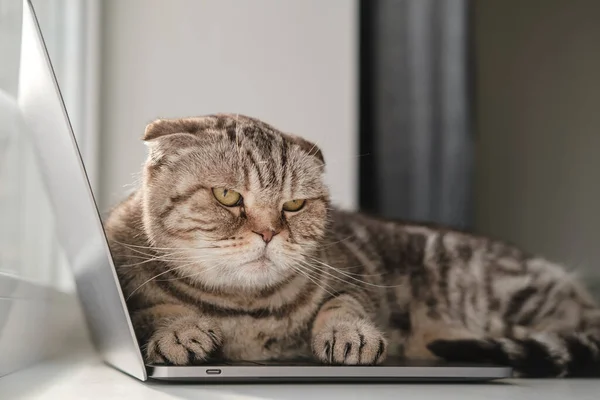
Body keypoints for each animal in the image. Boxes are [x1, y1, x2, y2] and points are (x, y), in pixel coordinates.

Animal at [106, 113, 600, 378]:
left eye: (294, 205)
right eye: (228, 196)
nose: (268, 233)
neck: (245, 309)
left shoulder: (356, 274)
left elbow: (344, 304)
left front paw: (349, 334)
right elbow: (152, 309)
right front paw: (180, 329)